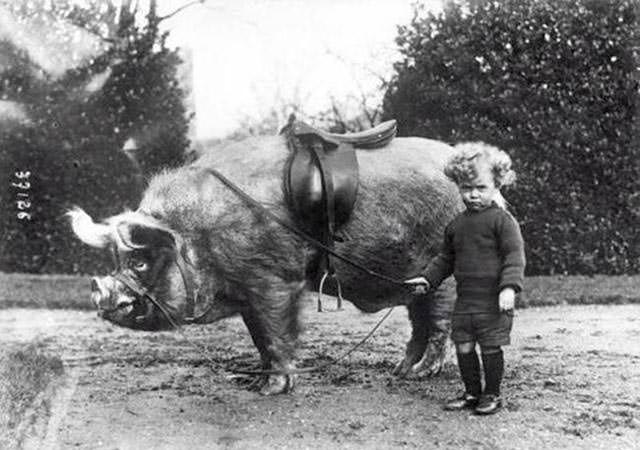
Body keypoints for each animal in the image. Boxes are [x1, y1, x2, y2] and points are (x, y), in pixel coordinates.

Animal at [69, 133, 460, 394]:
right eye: (116, 259)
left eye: (140, 262)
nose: (98, 290)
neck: (201, 234)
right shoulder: (247, 291)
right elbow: (259, 337)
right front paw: (255, 380)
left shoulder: (274, 279)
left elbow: (276, 333)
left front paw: (272, 390)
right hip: (415, 280)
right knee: (418, 325)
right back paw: (400, 371)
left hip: (444, 276)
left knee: (439, 326)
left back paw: (422, 374)